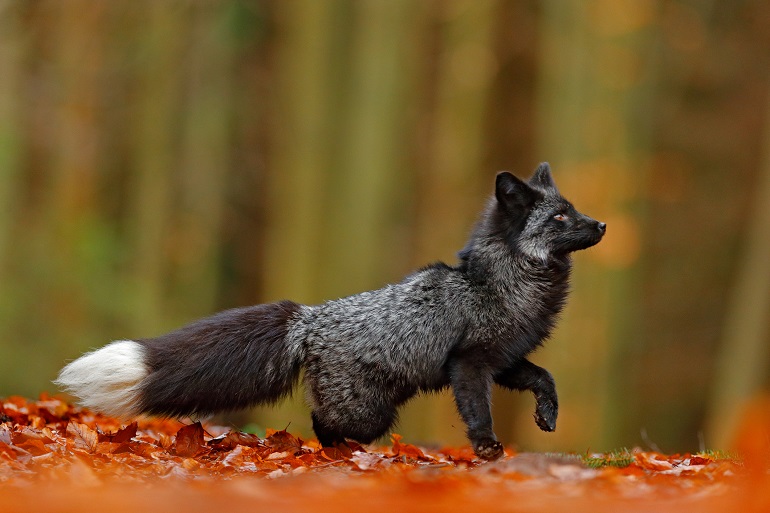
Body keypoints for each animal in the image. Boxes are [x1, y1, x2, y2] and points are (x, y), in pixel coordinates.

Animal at [56, 163, 605, 460]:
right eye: (561, 218)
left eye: (574, 211)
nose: (601, 224)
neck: (504, 282)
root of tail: (309, 318)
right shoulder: (469, 364)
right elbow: (477, 412)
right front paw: (488, 448)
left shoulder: (505, 359)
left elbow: (545, 378)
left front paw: (547, 416)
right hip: (368, 410)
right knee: (323, 423)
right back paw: (339, 456)